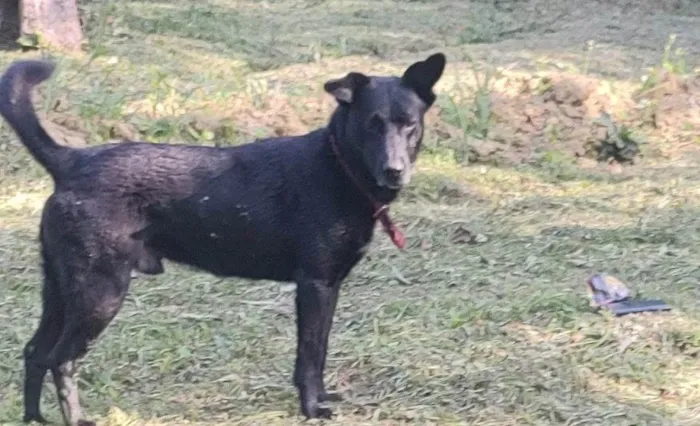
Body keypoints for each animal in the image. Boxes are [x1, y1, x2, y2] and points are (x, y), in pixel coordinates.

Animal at [0, 53, 446, 426]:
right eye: (372, 123)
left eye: (410, 124)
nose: (394, 171)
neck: (339, 167)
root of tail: (72, 161)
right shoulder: (315, 286)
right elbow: (309, 357)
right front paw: (311, 409)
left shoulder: (328, 288)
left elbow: (318, 353)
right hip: (99, 295)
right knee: (61, 360)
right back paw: (76, 419)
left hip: (61, 290)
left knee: (35, 352)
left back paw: (35, 419)